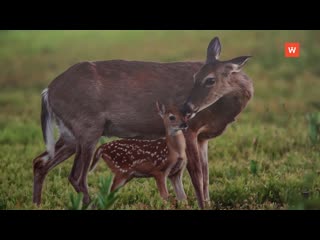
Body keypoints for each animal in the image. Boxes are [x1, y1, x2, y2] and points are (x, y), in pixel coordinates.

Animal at [32, 35, 252, 208]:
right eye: (195, 77)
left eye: (210, 80)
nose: (187, 108)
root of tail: (48, 91)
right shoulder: (191, 130)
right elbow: (197, 177)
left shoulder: (203, 138)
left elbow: (206, 178)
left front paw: (207, 203)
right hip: (88, 127)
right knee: (77, 176)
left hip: (70, 133)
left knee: (40, 162)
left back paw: (37, 204)